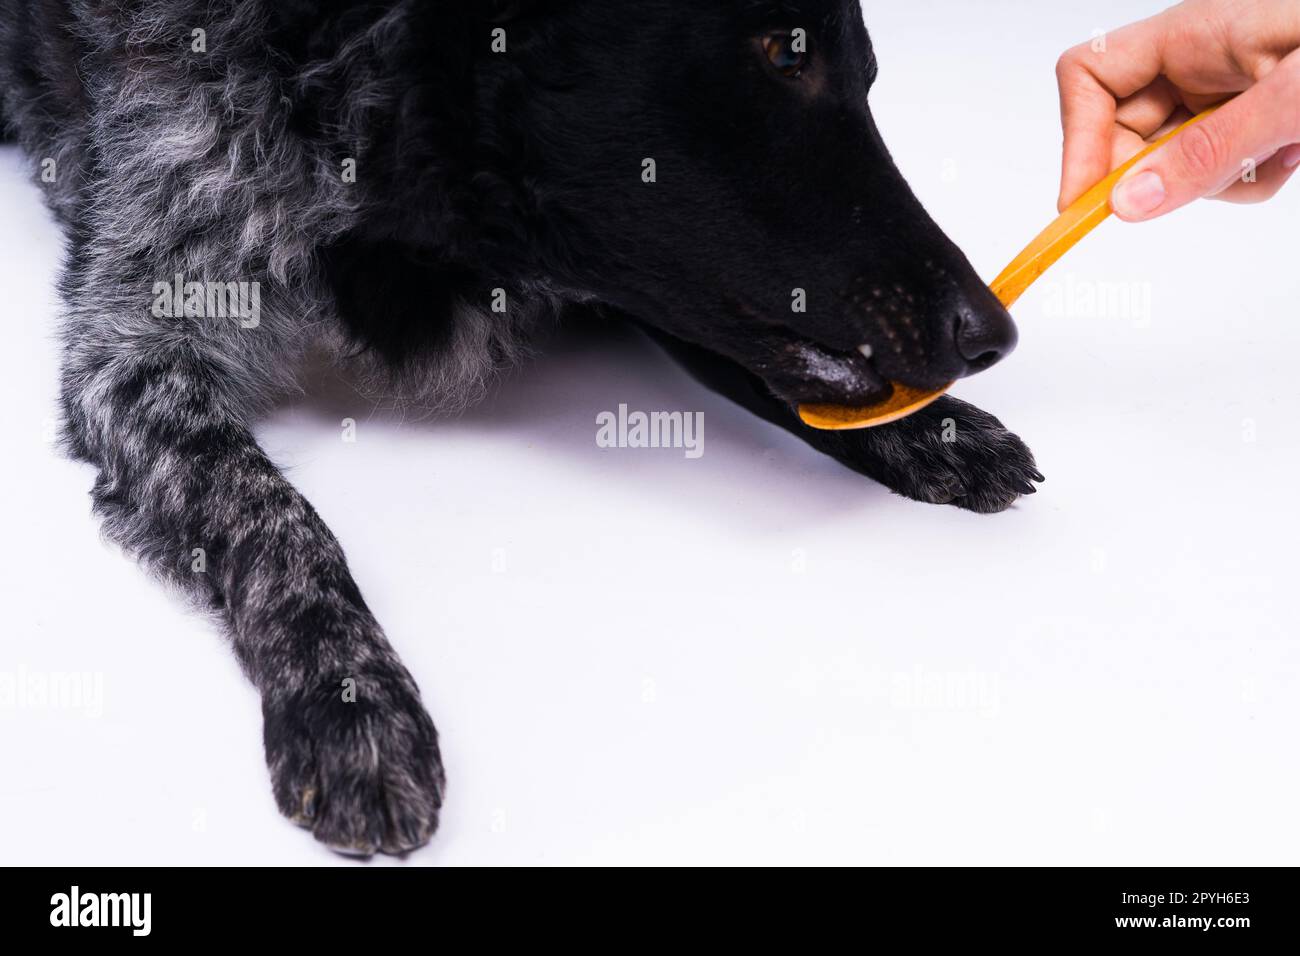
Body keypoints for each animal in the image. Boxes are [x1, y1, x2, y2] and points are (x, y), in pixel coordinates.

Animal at [0, 0, 1034, 853]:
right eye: (787, 53)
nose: (993, 333)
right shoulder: (133, 354)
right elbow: (276, 519)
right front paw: (352, 706)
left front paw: (935, 430)